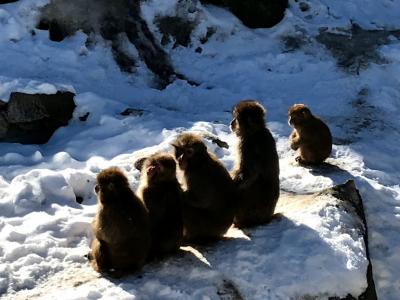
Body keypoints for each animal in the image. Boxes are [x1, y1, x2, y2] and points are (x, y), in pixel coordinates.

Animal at [230, 99, 280, 227]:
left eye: (236, 118)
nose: (231, 123)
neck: (255, 131)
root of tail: (266, 219)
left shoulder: (246, 145)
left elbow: (250, 174)